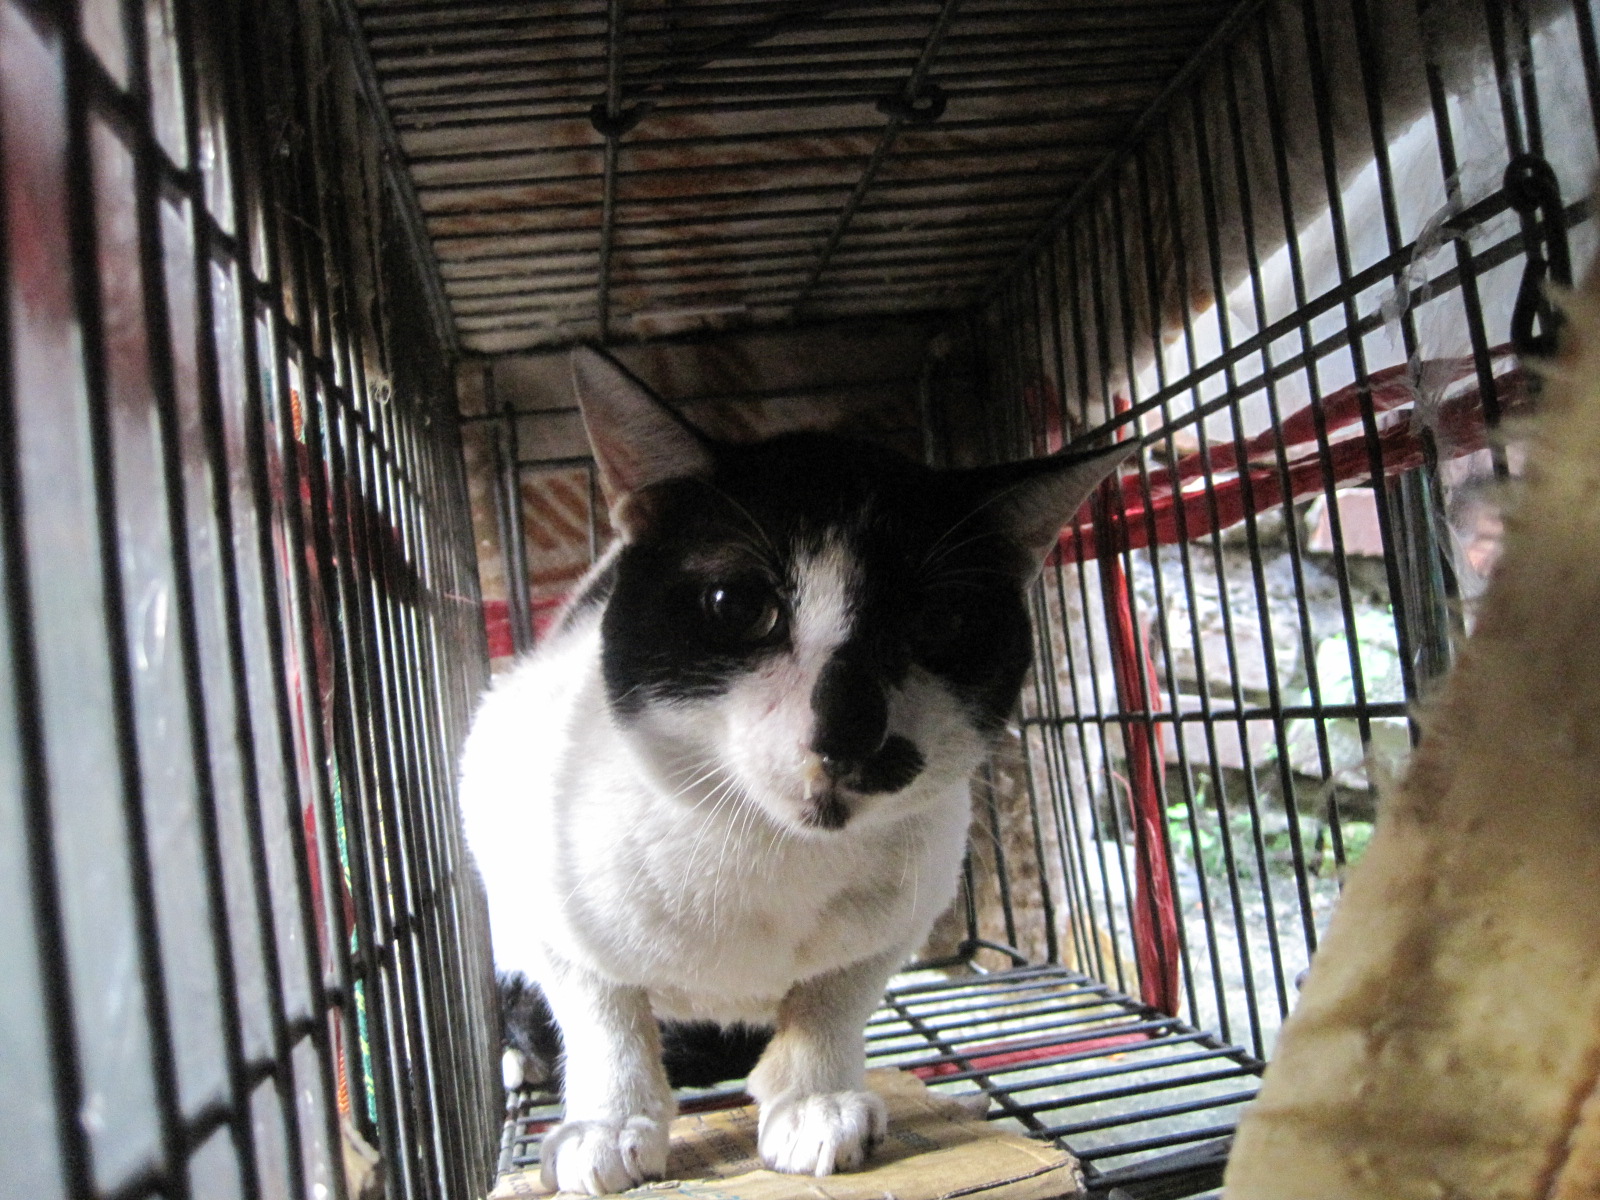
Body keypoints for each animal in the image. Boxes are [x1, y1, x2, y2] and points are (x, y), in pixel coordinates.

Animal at [458, 346, 1131, 1195]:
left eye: (940, 622)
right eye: (732, 604)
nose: (849, 728)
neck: (765, 853)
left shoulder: (910, 900)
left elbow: (835, 995)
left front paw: (814, 1096)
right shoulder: (508, 810)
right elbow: (599, 1002)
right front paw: (609, 1119)